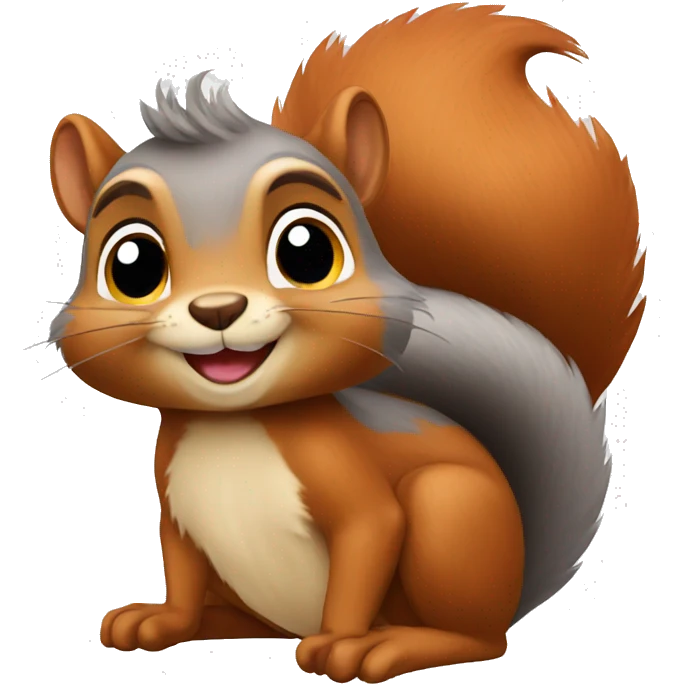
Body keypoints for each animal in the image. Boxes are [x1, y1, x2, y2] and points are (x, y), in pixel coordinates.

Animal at [48, 4, 642, 681]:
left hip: (452, 513)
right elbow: (181, 568)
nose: (218, 307)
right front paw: (166, 620)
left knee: (476, 636)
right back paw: (198, 622)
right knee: (245, 619)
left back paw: (396, 643)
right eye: (132, 264)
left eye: (306, 249)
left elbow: (369, 538)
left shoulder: (352, 485)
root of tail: (512, 589)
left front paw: (340, 643)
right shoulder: (175, 507)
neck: (233, 428)